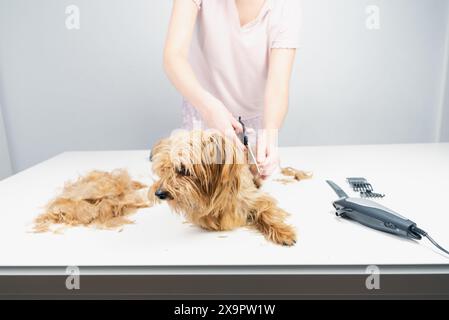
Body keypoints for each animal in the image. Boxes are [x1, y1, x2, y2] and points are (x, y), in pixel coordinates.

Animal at [149, 130, 298, 248]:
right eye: (164, 169)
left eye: (183, 169)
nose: (159, 193)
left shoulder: (256, 198)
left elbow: (266, 212)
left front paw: (284, 232)